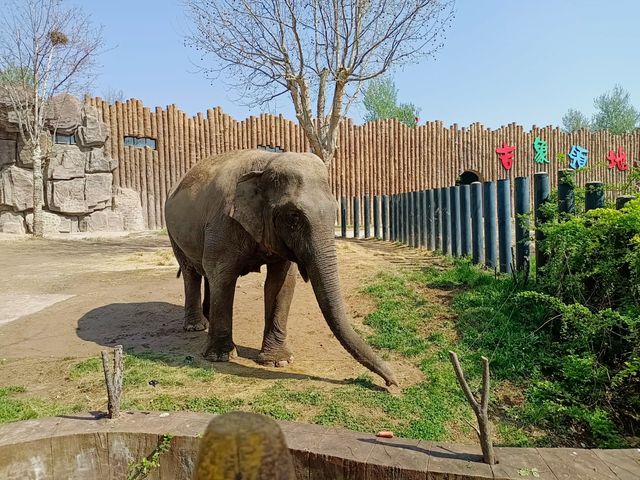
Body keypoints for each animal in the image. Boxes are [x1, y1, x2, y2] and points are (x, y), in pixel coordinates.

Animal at [162, 149, 398, 386]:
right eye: (294, 216)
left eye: (335, 210)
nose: (392, 383)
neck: (267, 162)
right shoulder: (222, 222)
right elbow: (223, 275)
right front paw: (219, 357)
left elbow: (281, 283)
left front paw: (278, 361)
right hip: (173, 233)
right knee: (192, 273)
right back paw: (196, 326)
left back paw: (207, 318)